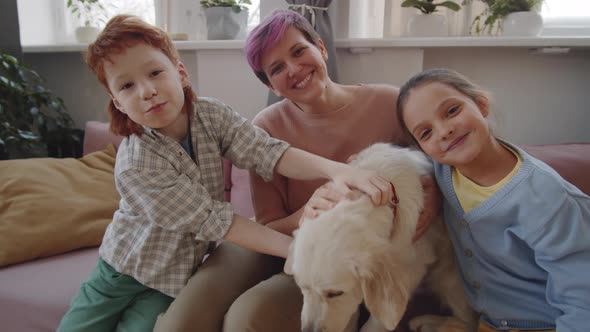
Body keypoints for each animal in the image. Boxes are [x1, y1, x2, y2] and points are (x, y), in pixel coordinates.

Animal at [284, 143, 478, 332]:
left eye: (335, 293)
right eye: (302, 288)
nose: (308, 330)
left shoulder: (411, 271)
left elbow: (377, 319)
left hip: (448, 280)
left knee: (468, 323)